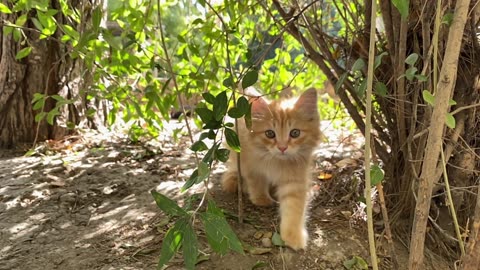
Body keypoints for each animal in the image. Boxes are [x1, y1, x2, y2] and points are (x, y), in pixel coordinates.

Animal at [222, 88, 320, 251]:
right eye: (270, 134)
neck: (276, 162)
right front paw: (261, 199)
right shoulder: (251, 165)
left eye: (295, 133)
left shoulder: (295, 179)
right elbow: (257, 183)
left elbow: (293, 207)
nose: (282, 147)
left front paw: (293, 236)